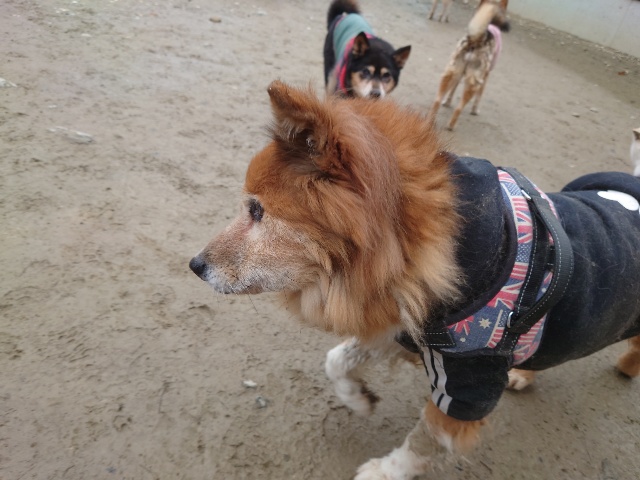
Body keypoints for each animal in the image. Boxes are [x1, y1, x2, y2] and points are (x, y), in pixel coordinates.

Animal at [189, 81, 640, 479]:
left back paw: (627, 367)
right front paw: (359, 400)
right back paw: (525, 374)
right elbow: (337, 360)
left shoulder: (466, 385)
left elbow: (422, 443)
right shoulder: (405, 327)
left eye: (257, 211)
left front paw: (383, 472)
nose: (195, 264)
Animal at [429, 0, 509, 130]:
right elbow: (478, 98)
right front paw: (475, 110)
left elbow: (452, 92)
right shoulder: (485, 77)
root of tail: (476, 39)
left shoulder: (459, 74)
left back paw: (430, 122)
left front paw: (447, 102)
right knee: (459, 108)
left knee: (437, 100)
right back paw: (451, 126)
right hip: (473, 83)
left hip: (450, 73)